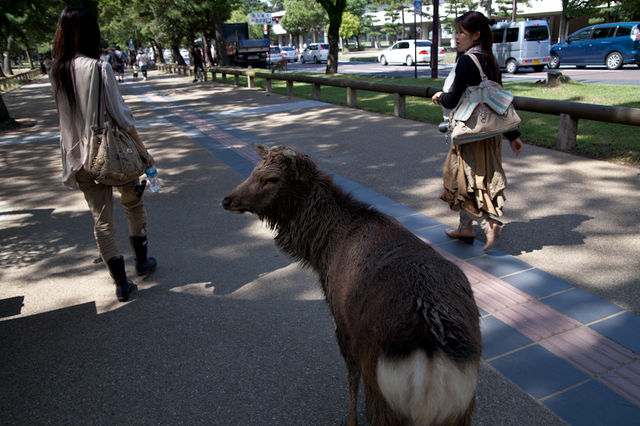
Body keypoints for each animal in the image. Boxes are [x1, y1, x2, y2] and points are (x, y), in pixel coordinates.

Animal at [224, 145, 480, 424]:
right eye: (253, 171)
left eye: (271, 178)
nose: (227, 200)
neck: (322, 254)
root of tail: (431, 358)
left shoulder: (342, 323)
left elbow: (351, 376)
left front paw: (349, 420)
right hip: (462, 408)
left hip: (381, 389)